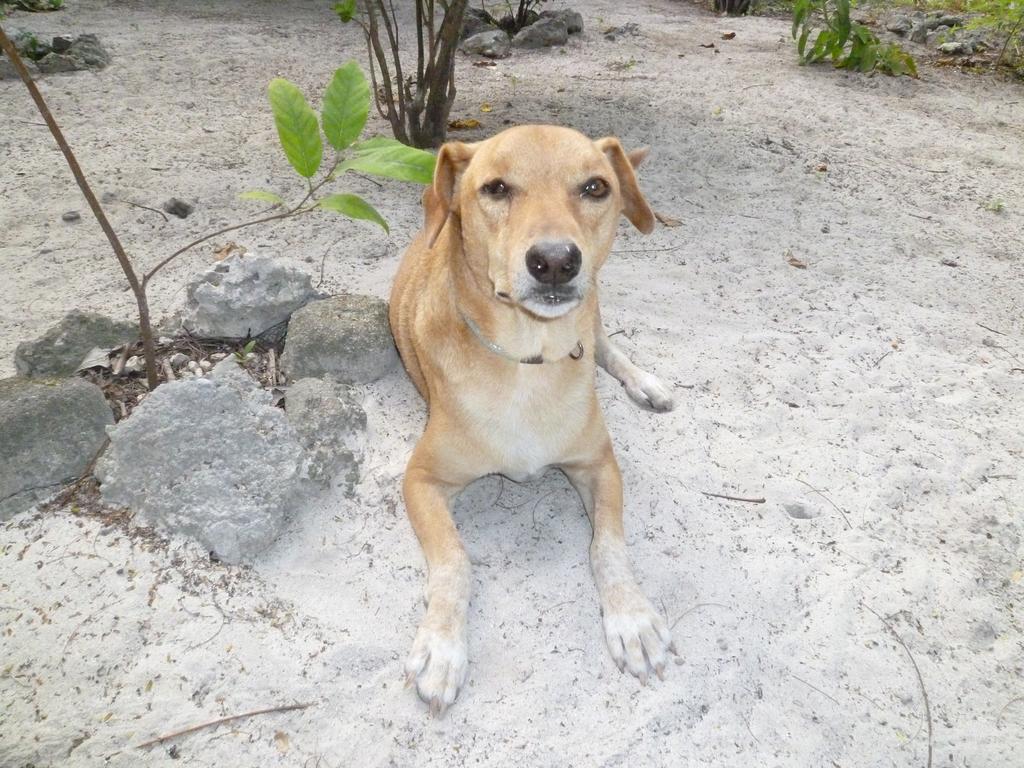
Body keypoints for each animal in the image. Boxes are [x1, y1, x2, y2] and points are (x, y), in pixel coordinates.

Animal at [387, 124, 675, 716]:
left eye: (595, 187)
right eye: (496, 188)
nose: (556, 260)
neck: (527, 360)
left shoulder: (599, 465)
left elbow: (609, 547)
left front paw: (632, 617)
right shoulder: (420, 480)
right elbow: (455, 562)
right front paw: (442, 646)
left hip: (596, 303)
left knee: (605, 343)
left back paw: (644, 382)